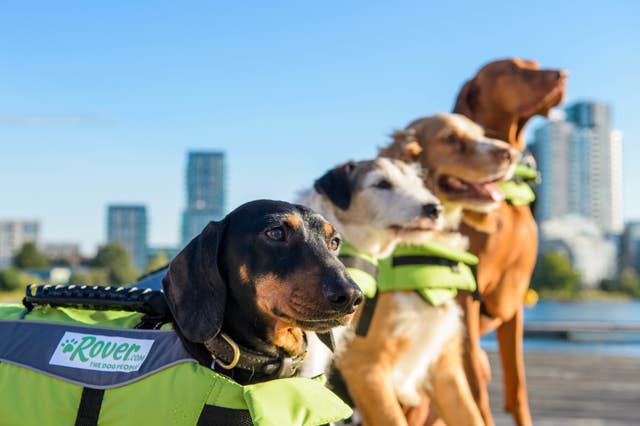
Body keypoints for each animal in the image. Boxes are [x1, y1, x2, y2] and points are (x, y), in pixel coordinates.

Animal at [456, 57, 564, 426]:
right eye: (513, 69)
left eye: (533, 64)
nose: (563, 75)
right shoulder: (466, 296)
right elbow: (475, 391)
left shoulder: (515, 298)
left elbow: (517, 386)